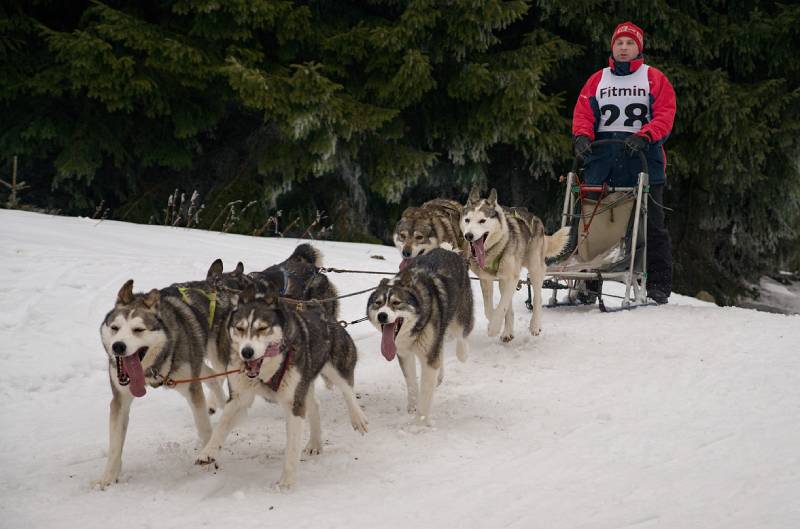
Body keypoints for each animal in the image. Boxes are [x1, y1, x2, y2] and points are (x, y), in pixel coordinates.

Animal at [94, 270, 233, 488]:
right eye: (115, 328)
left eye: (138, 330)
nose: (118, 346)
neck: (150, 369)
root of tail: (219, 283)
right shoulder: (120, 400)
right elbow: (115, 444)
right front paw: (108, 478)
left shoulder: (192, 389)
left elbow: (203, 427)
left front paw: (210, 460)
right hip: (197, 361)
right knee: (211, 376)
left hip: (222, 357)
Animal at [195, 284, 368, 490]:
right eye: (240, 328)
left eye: (262, 328)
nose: (247, 352)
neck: (266, 371)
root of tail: (320, 309)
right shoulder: (239, 398)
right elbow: (222, 425)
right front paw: (208, 452)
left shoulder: (293, 405)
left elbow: (292, 448)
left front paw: (286, 482)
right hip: (304, 383)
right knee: (314, 405)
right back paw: (315, 443)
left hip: (335, 367)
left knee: (347, 389)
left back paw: (358, 417)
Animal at [366, 248, 472, 424]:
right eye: (378, 303)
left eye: (396, 303)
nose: (382, 316)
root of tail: (448, 250)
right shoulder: (404, 353)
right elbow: (411, 383)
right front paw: (412, 406)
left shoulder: (429, 359)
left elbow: (426, 391)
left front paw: (420, 422)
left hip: (459, 318)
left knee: (461, 335)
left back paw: (462, 353)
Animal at [460, 188, 572, 340]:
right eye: (467, 220)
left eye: (482, 220)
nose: (469, 235)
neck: (497, 247)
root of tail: (534, 217)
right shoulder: (486, 279)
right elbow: (490, 309)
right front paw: (497, 323)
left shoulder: (511, 277)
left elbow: (502, 306)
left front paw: (494, 328)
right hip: (504, 279)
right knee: (509, 305)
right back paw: (508, 332)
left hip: (535, 268)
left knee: (537, 298)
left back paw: (535, 325)